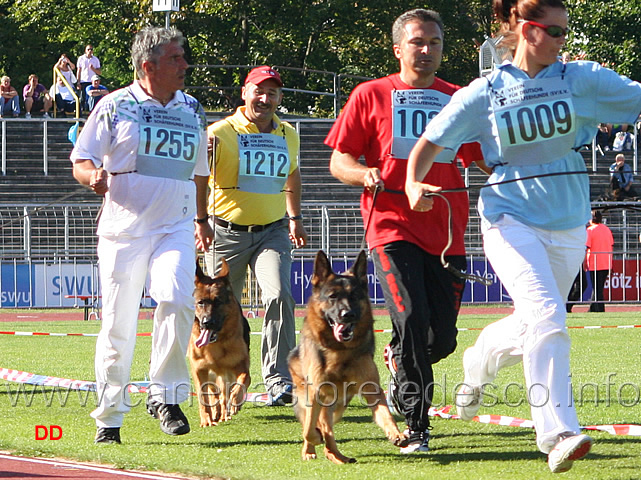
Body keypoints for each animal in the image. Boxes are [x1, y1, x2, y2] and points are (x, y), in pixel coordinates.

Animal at [188, 260, 250, 426]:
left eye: (218, 302)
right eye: (201, 303)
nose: (207, 322)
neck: (215, 345)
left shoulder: (240, 366)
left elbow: (241, 383)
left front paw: (235, 403)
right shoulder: (199, 370)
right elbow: (203, 396)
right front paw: (206, 419)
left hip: (225, 375)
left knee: (225, 394)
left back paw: (225, 413)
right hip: (212, 376)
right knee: (214, 394)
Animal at [288, 249, 408, 464]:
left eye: (354, 296)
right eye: (333, 296)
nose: (348, 315)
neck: (339, 349)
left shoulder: (371, 389)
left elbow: (385, 413)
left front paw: (396, 433)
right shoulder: (315, 392)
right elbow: (309, 428)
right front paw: (313, 441)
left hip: (339, 406)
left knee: (328, 430)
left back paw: (336, 456)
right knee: (316, 426)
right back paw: (311, 450)